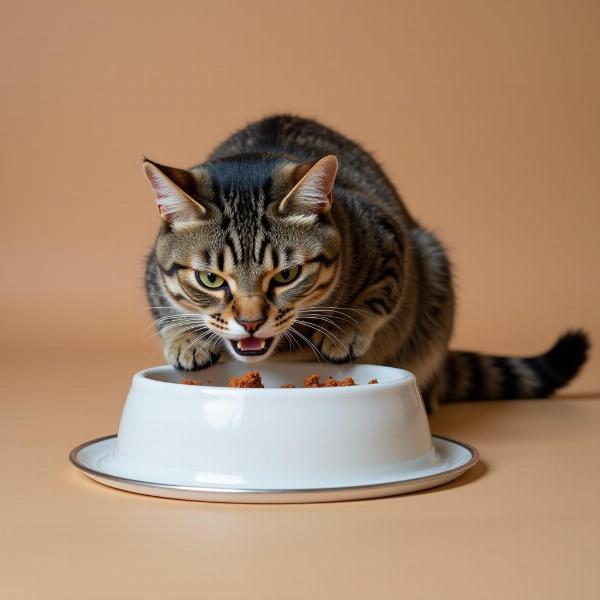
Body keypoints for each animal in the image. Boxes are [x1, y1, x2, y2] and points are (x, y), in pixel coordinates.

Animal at [143, 114, 588, 410]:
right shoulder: (152, 272)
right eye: (210, 279)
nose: (251, 322)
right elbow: (165, 305)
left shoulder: (391, 241)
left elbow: (381, 292)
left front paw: (345, 330)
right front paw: (185, 339)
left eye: (287, 275)